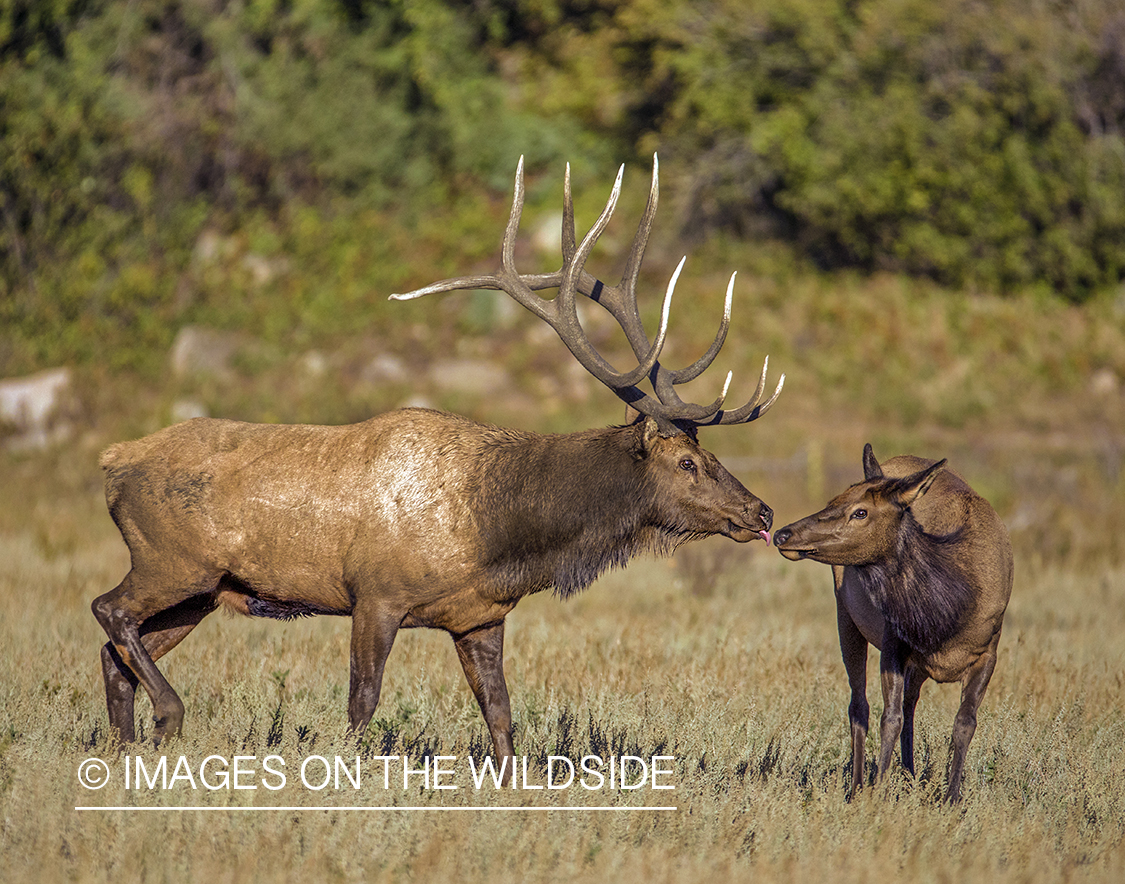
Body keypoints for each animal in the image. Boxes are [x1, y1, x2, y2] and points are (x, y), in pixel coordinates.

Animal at [90, 158, 783, 773]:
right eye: (689, 462)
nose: (761, 511)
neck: (495, 532)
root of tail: (112, 459)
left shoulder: (480, 617)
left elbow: (502, 718)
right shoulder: (375, 594)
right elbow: (361, 705)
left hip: (204, 590)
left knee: (112, 650)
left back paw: (126, 749)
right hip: (170, 560)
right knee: (108, 610)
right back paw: (168, 716)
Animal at [774, 445, 1012, 796]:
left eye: (860, 512)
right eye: (833, 500)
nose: (782, 533)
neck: (947, 616)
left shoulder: (988, 651)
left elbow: (965, 722)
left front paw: (953, 797)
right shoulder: (893, 641)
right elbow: (890, 718)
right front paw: (878, 791)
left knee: (910, 703)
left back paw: (910, 775)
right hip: (845, 614)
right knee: (859, 705)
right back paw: (858, 786)